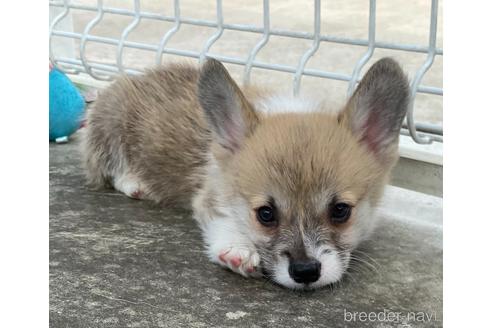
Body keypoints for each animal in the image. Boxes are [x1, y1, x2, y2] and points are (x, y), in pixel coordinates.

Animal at [82, 57, 410, 288]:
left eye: (341, 211)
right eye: (265, 214)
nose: (305, 272)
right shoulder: (209, 195)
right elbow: (224, 219)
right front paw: (237, 249)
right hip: (110, 121)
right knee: (108, 166)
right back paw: (135, 182)